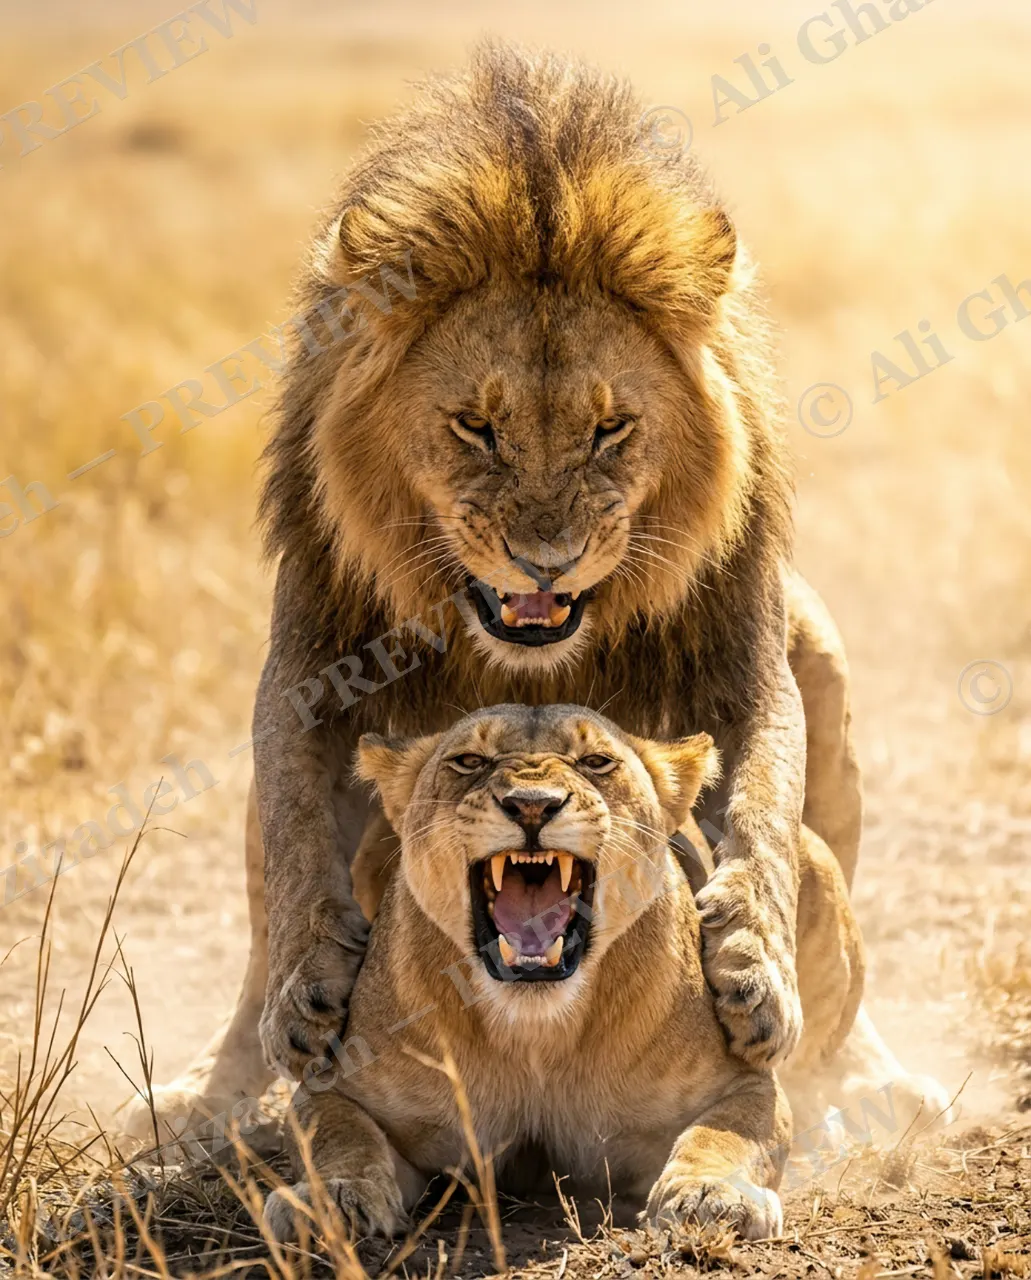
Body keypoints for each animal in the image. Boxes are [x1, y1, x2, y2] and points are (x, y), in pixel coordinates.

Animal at [126, 42, 883, 1142]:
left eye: (610, 429)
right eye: (474, 428)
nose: (547, 557)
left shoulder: (746, 666)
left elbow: (762, 816)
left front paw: (751, 965)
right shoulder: (310, 662)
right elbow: (296, 844)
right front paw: (308, 986)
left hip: (822, 657)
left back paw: (872, 1076)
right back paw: (209, 1085)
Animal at [263, 703, 865, 1242]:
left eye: (596, 761)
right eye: (469, 761)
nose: (531, 805)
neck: (536, 1031)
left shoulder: (742, 1080)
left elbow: (725, 1134)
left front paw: (711, 1196)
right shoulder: (335, 1083)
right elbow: (337, 1134)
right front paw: (334, 1198)